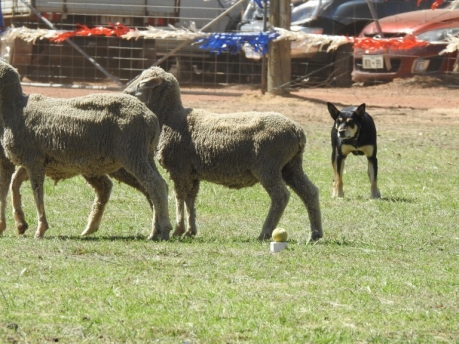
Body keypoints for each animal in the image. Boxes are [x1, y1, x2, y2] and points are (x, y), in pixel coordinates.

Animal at [0, 59, 172, 239]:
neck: (15, 109)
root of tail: (151, 118)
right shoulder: (35, 162)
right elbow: (14, 185)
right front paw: (19, 223)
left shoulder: (33, 160)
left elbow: (37, 195)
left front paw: (40, 229)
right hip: (144, 155)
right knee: (158, 186)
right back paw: (155, 229)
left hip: (132, 153)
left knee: (155, 185)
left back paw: (163, 229)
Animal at [122, 66, 324, 241]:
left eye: (142, 82)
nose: (125, 92)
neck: (171, 118)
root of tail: (297, 130)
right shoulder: (192, 173)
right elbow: (190, 199)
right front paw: (190, 231)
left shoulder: (179, 168)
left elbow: (180, 198)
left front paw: (179, 230)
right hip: (291, 166)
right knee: (310, 192)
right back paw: (315, 234)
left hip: (268, 166)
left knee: (281, 196)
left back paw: (265, 232)